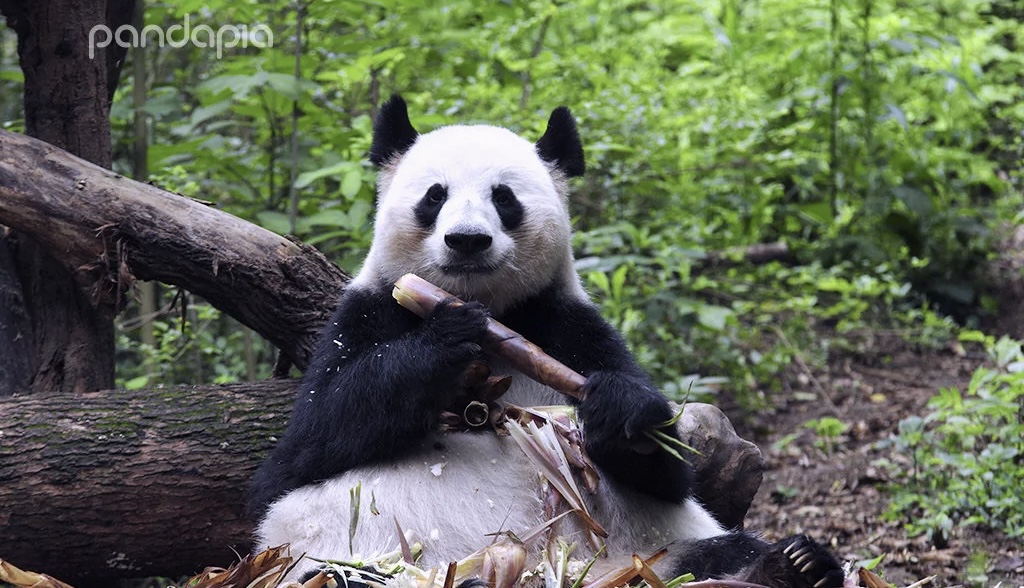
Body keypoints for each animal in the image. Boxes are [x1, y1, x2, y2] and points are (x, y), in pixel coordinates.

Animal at [249, 97, 847, 588]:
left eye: (504, 198)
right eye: (435, 196)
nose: (467, 241)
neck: (494, 313)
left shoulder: (566, 325)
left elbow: (670, 475)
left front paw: (621, 409)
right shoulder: (366, 314)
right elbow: (307, 446)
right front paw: (447, 338)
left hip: (651, 549)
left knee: (720, 552)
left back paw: (793, 565)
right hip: (349, 555)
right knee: (344, 573)